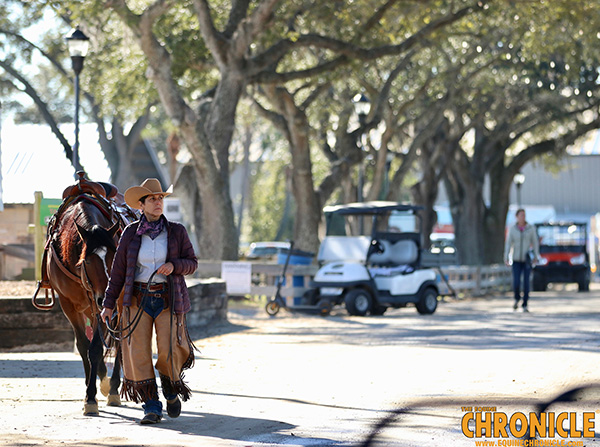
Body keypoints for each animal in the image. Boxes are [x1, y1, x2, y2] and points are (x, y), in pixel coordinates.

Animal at [44, 195, 125, 416]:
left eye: (115, 257)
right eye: (87, 261)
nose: (105, 297)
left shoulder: (105, 307)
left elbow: (95, 348)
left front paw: (91, 396)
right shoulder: (68, 304)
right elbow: (83, 346)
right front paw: (91, 390)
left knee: (121, 342)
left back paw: (113, 388)